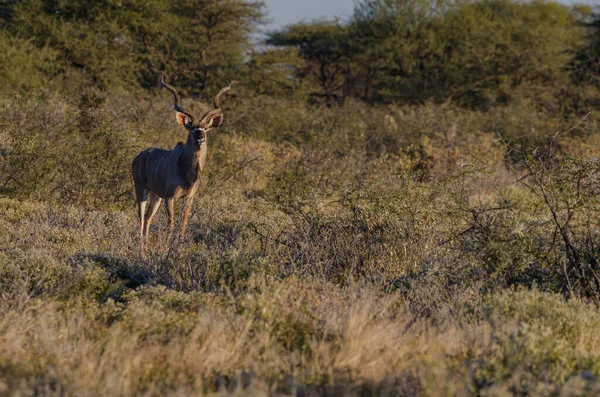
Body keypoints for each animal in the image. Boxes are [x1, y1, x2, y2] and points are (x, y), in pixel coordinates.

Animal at [132, 77, 233, 249]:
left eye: (205, 128)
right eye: (192, 128)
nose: (200, 138)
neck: (186, 172)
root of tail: (138, 157)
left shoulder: (188, 198)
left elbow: (183, 224)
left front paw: (179, 247)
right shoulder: (170, 197)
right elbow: (171, 223)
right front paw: (166, 248)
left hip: (155, 196)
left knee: (147, 218)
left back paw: (145, 247)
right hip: (141, 190)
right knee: (141, 218)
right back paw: (140, 249)